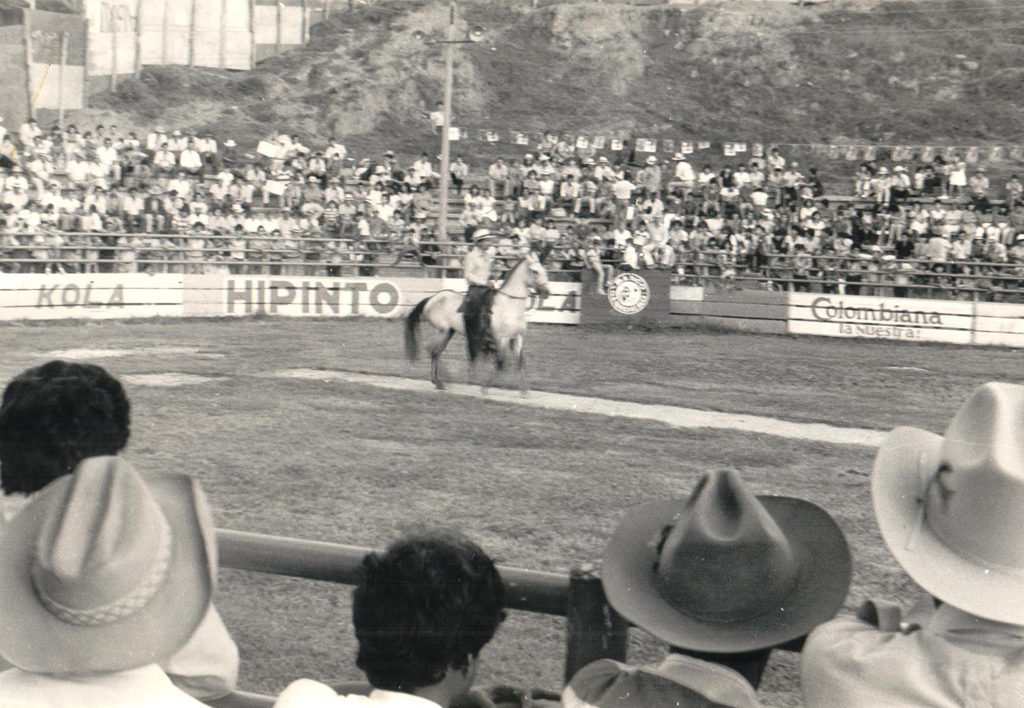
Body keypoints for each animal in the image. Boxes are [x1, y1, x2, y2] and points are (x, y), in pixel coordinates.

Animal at [403, 251, 552, 393]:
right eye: (535, 271)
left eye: (544, 270)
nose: (547, 292)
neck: (509, 305)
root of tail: (432, 298)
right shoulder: (501, 339)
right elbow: (501, 363)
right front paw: (485, 388)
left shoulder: (517, 338)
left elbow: (520, 362)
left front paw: (525, 391)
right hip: (442, 331)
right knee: (433, 351)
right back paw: (441, 381)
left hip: (449, 332)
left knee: (436, 351)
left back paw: (440, 381)